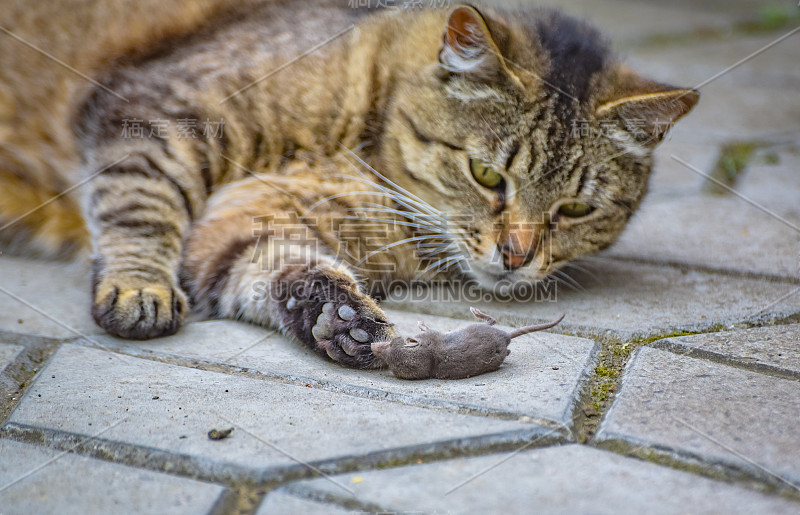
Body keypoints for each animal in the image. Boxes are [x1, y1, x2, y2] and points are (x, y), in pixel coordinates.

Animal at [0, 2, 692, 368]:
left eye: (575, 208)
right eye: (487, 174)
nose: (516, 256)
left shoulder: (245, 224)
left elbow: (272, 267)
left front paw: (339, 316)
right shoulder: (157, 114)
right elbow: (141, 203)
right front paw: (139, 285)